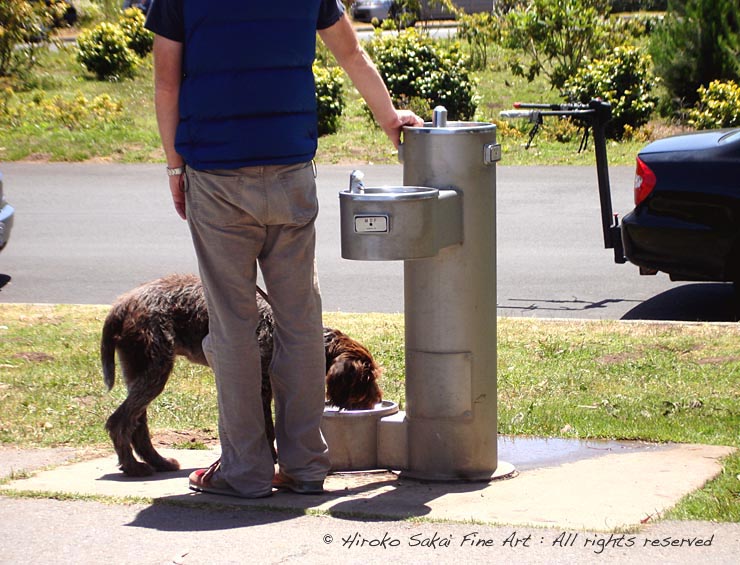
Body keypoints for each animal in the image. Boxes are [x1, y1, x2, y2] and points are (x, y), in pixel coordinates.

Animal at [101, 274, 382, 476]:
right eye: (368, 378)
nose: (376, 400)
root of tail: (121, 304)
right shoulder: (261, 387)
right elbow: (267, 428)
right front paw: (270, 459)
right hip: (154, 368)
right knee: (119, 421)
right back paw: (133, 467)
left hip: (141, 370)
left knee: (137, 423)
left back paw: (158, 462)